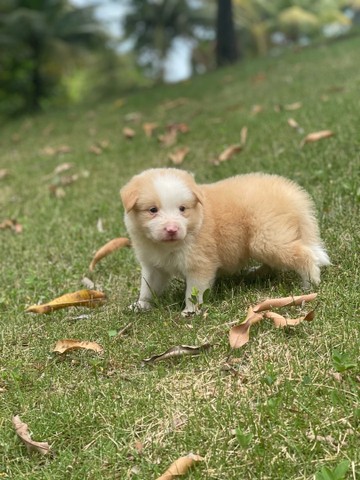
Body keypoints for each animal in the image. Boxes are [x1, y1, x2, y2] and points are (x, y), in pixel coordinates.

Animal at [120, 169, 330, 316]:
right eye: (152, 210)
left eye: (182, 209)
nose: (172, 229)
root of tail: (291, 194)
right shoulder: (153, 265)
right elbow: (148, 287)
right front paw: (140, 306)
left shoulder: (200, 263)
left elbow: (194, 291)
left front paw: (190, 312)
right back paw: (256, 273)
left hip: (268, 239)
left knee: (304, 254)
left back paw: (310, 284)